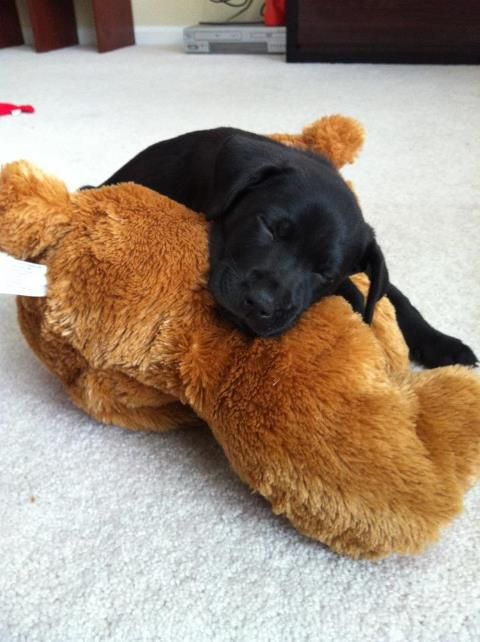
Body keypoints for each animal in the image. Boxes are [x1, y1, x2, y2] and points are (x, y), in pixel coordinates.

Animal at [97, 127, 476, 368]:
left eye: (324, 272)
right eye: (269, 228)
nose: (261, 304)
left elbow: (393, 294)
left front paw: (442, 343)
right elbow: (363, 295)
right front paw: (359, 308)